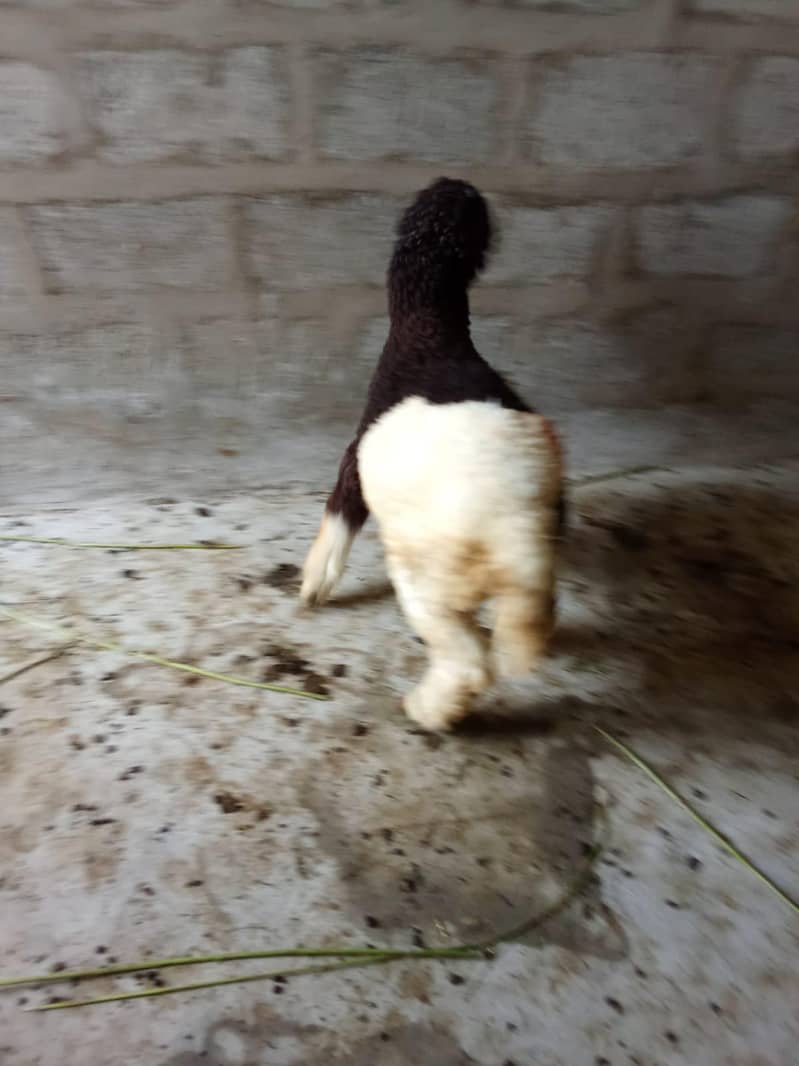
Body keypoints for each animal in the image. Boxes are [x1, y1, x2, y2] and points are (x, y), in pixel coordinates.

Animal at [300, 176, 564, 731]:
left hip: (427, 580)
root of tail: (507, 524)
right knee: (525, 623)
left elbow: (339, 513)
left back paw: (430, 710)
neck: (431, 326)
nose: (462, 187)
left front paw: (314, 581)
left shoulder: (356, 455)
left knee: (465, 661)